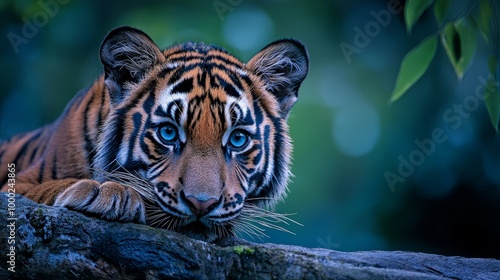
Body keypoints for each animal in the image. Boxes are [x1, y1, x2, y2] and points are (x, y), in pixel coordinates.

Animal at [0, 25, 308, 241]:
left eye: (237, 139)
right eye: (168, 133)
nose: (201, 204)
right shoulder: (19, 184)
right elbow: (43, 188)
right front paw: (105, 191)